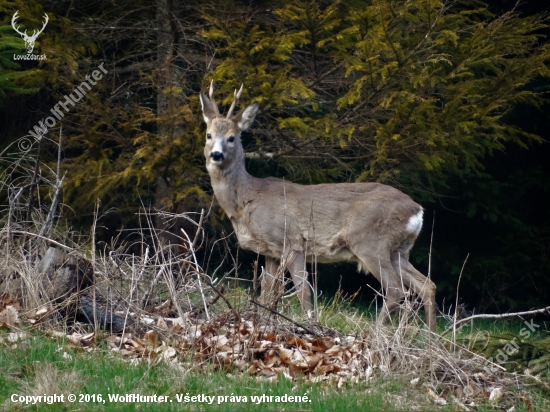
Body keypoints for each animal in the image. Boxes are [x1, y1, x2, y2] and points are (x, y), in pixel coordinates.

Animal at [201, 83, 438, 332]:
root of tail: (417, 210)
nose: (216, 154)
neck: (247, 199)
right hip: (398, 249)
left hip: (370, 241)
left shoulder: (292, 241)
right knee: (427, 285)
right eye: (209, 135)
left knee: (396, 290)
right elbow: (266, 292)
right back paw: (430, 336)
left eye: (232, 138)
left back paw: (376, 332)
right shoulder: (270, 251)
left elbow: (304, 291)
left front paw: (310, 324)